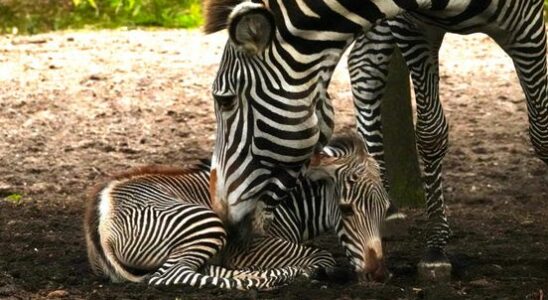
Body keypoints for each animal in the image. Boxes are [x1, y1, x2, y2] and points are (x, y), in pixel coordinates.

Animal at [83, 135, 400, 290]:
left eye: (386, 210)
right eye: (346, 210)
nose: (379, 275)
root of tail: (102, 208)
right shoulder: (252, 245)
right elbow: (322, 256)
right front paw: (309, 269)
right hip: (206, 223)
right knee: (168, 276)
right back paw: (277, 277)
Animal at [203, 0, 544, 278]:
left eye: (225, 100)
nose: (219, 213)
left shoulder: (527, 23)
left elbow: (541, 132)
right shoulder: (412, 25)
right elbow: (430, 131)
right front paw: (436, 247)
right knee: (364, 68)